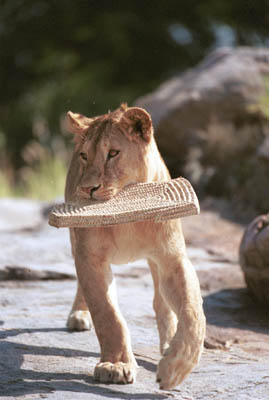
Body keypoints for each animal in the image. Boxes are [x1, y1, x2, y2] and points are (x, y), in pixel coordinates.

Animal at [63, 104, 204, 390]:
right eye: (84, 156)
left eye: (113, 153)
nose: (88, 189)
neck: (127, 217)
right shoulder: (90, 257)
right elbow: (108, 315)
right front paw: (115, 366)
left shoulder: (172, 258)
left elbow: (192, 310)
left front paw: (176, 366)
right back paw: (79, 314)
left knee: (161, 301)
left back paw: (168, 342)